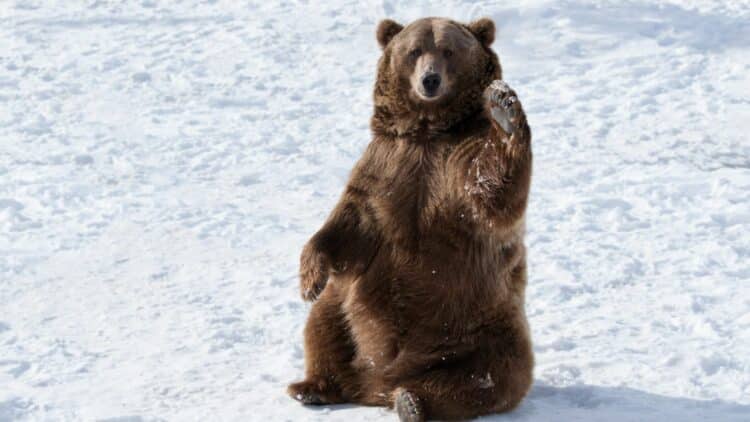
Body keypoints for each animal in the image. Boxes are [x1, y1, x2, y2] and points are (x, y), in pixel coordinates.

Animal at [288, 16, 533, 421]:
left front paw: (503, 109)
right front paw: (309, 280)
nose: (430, 80)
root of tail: (377, 385)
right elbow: (348, 221)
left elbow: (491, 193)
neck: (427, 131)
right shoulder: (386, 165)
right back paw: (313, 386)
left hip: (482, 328)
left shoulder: (455, 164)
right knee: (324, 326)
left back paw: (413, 402)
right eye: (414, 50)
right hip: (346, 309)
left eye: (448, 50)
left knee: (490, 376)